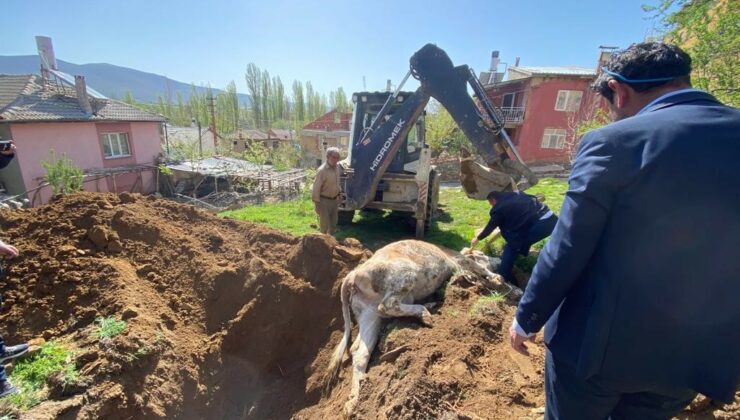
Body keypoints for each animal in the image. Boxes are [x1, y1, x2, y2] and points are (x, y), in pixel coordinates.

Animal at [326, 238, 516, 416]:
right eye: (482, 254)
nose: (498, 259)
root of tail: (353, 274)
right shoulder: (460, 261)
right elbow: (479, 268)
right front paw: (501, 280)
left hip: (369, 315)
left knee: (359, 352)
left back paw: (353, 401)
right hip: (404, 275)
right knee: (387, 305)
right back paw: (426, 313)